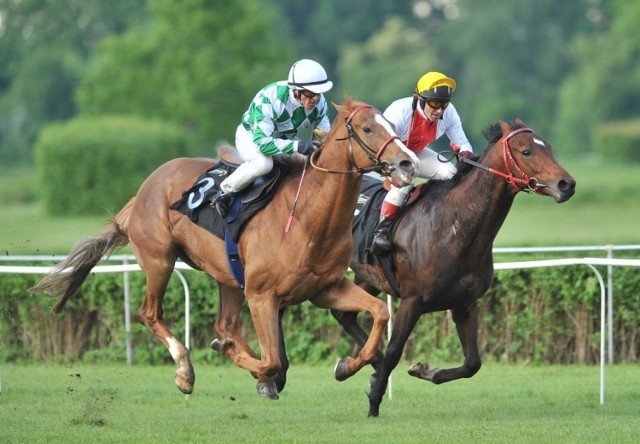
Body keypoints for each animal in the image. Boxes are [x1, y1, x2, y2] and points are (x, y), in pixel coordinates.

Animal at [28, 97, 420, 398]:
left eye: (392, 124)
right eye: (367, 129)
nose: (407, 162)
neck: (307, 219)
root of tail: (145, 188)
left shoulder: (326, 288)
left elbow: (379, 313)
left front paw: (346, 365)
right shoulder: (262, 295)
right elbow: (273, 358)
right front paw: (252, 366)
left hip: (227, 275)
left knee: (226, 325)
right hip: (159, 260)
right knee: (150, 314)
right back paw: (186, 371)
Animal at [332, 117, 576, 416]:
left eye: (548, 147)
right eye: (527, 151)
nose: (566, 184)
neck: (453, 227)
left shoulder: (464, 303)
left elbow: (472, 363)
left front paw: (424, 370)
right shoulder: (412, 301)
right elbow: (393, 352)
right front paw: (374, 404)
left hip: (370, 276)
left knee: (344, 315)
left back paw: (349, 367)